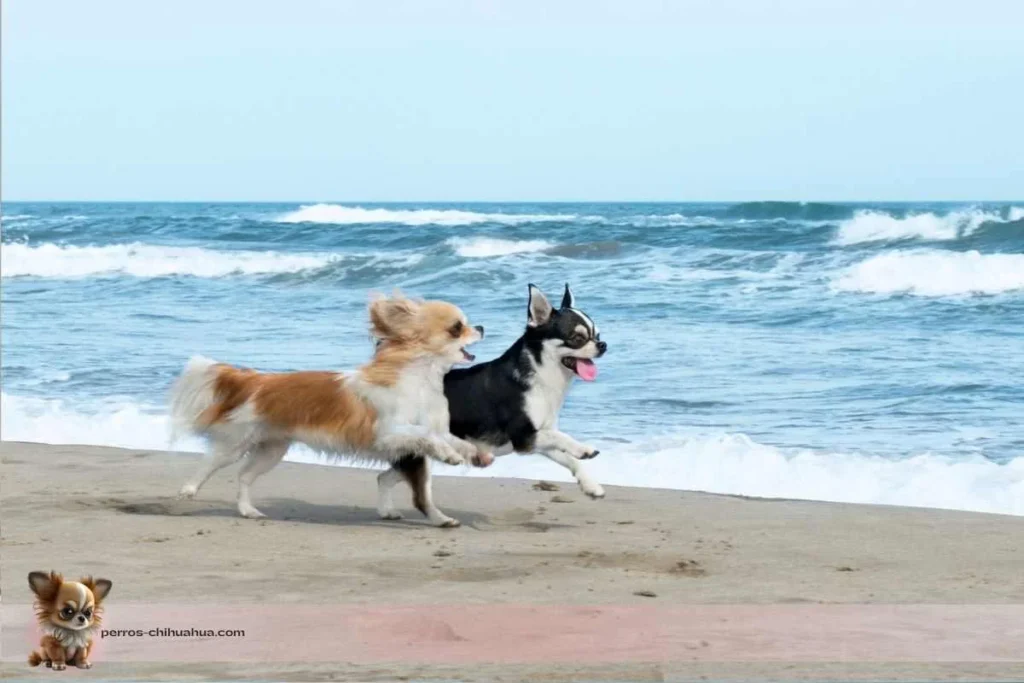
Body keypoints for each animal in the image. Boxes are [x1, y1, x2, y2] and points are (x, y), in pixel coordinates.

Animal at [171, 290, 491, 528]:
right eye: (456, 328)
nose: (482, 326)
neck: (421, 380)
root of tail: (257, 380)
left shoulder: (430, 430)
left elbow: (452, 439)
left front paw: (476, 453)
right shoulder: (388, 433)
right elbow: (427, 435)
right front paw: (449, 455)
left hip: (272, 451)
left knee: (244, 477)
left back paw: (248, 510)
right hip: (237, 443)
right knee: (210, 462)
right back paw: (188, 490)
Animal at [376, 282, 606, 528]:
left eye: (597, 335)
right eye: (577, 338)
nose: (603, 345)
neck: (544, 376)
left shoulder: (537, 439)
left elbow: (569, 459)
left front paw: (591, 486)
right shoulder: (525, 437)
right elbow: (562, 437)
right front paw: (583, 448)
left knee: (383, 477)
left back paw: (387, 511)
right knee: (419, 496)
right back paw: (442, 520)